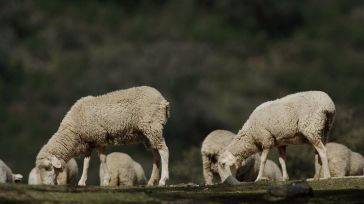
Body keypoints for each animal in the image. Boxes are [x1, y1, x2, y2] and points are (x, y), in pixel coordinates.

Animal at [34, 86, 171, 186]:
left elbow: (101, 159)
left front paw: (104, 180)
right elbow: (88, 162)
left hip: (153, 126)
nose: (45, 185)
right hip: (147, 134)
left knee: (164, 150)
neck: (73, 132)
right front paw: (84, 181)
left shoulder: (99, 137)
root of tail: (163, 100)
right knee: (156, 156)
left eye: (47, 168)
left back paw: (163, 180)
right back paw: (152, 181)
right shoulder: (90, 141)